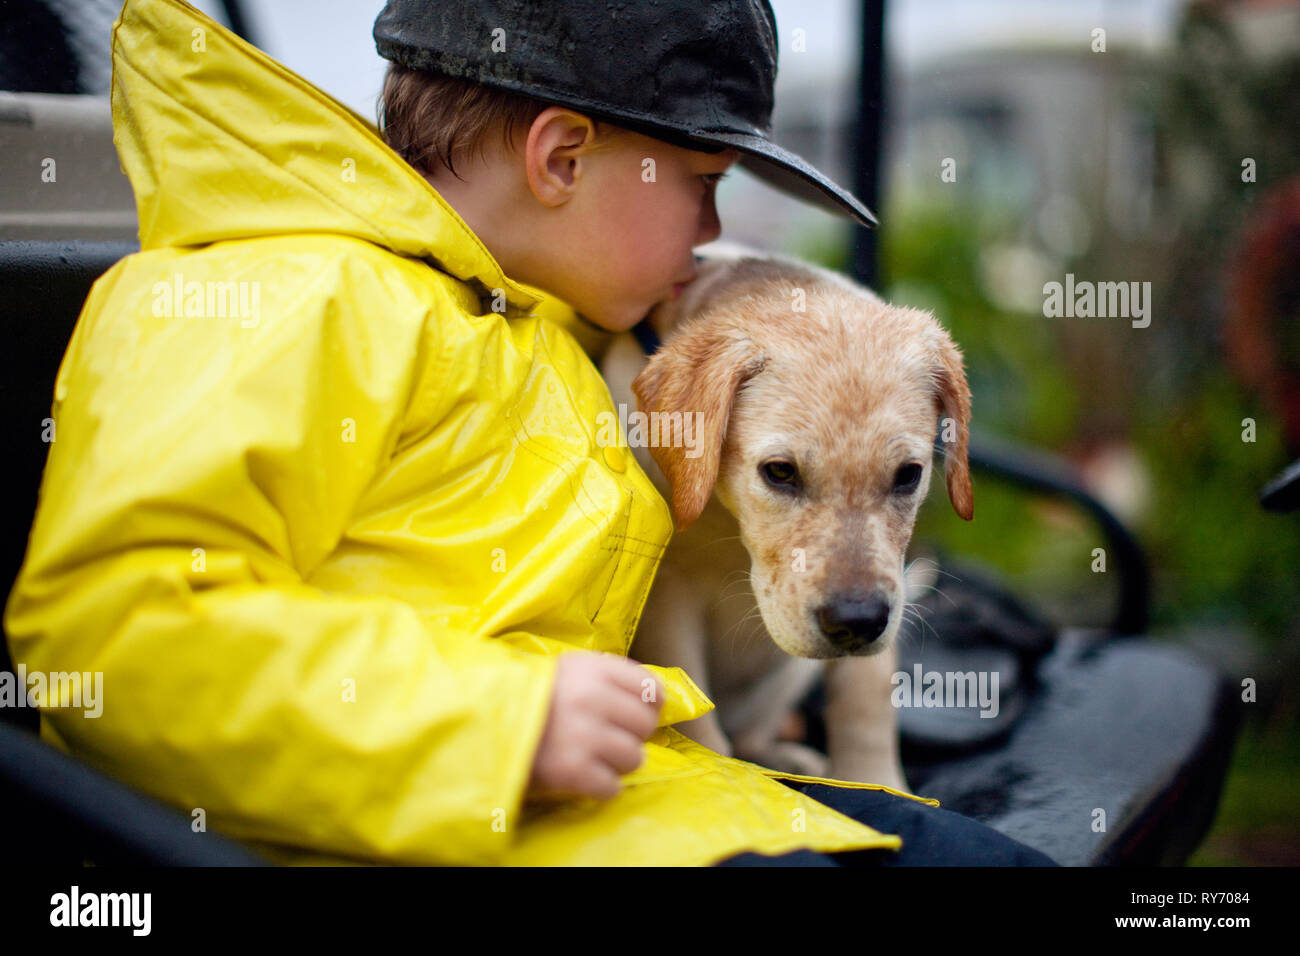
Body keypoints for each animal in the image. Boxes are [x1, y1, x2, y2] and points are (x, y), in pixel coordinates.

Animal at [603, 247, 972, 790]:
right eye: (779, 472)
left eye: (908, 475)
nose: (856, 623)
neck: (725, 518)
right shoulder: (665, 596)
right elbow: (695, 719)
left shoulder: (889, 586)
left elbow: (866, 699)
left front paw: (877, 780)